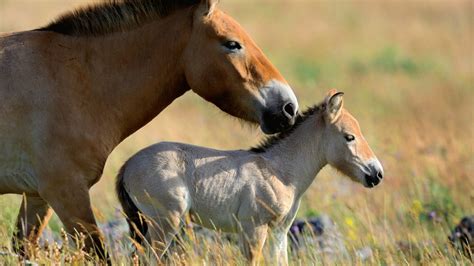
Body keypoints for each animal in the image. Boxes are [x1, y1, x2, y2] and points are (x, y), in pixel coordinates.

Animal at [116, 90, 384, 264]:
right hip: (165, 223)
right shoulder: (254, 230)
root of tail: (127, 164)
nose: (377, 173)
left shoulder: (280, 231)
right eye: (349, 136)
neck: (280, 171)